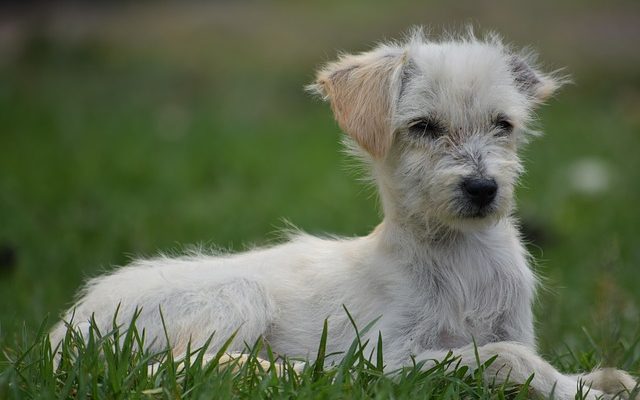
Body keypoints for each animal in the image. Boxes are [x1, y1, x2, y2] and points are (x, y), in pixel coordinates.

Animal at [50, 29, 636, 398]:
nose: (483, 188)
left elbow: (544, 358)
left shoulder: (504, 326)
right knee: (183, 365)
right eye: (423, 127)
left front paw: (603, 380)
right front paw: (581, 391)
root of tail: (61, 333)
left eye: (504, 125)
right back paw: (290, 371)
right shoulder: (388, 359)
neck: (460, 263)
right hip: (237, 294)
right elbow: (510, 357)